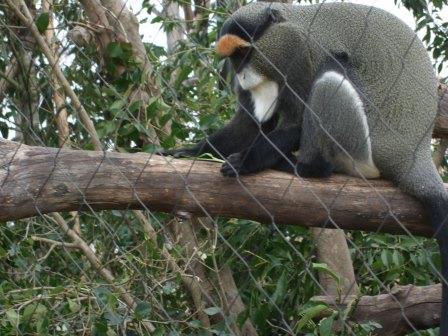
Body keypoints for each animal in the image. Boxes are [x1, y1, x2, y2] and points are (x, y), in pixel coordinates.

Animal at [164, 2, 448, 332]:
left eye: (245, 53)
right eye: (233, 58)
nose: (241, 75)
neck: (285, 23)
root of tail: (413, 157)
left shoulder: (296, 48)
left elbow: (296, 119)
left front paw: (247, 161)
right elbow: (250, 124)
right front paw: (190, 150)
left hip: (362, 149)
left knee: (331, 73)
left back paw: (307, 166)